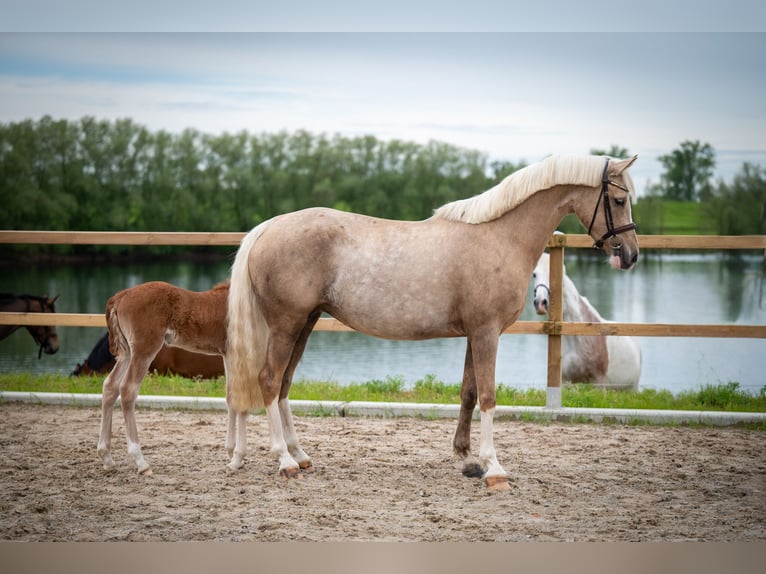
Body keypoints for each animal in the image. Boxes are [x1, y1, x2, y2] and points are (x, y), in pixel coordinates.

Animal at [97, 282, 240, 474]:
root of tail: (122, 295)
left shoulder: (227, 354)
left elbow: (231, 397)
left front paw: (232, 454)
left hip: (127, 353)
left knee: (110, 386)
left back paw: (106, 456)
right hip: (144, 350)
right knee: (127, 389)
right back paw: (141, 462)